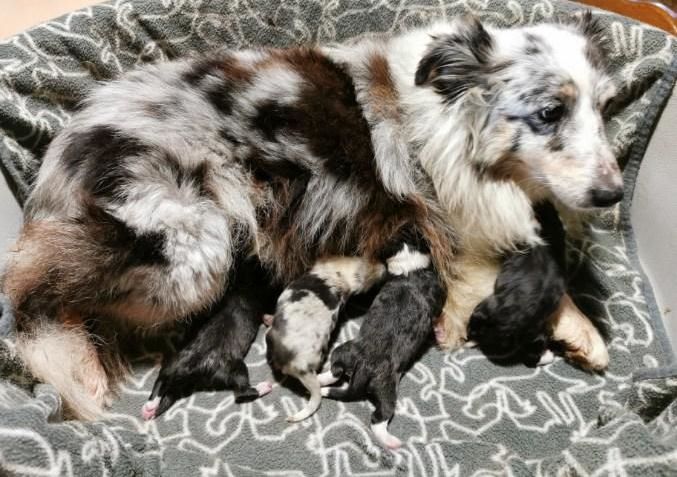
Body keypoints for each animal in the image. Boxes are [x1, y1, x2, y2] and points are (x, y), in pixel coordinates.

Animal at [141, 256, 278, 420]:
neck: (245, 280)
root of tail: (189, 369)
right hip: (234, 368)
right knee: (242, 392)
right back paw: (264, 387)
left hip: (171, 364)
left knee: (160, 381)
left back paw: (150, 406)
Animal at [320, 244, 446, 448]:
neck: (409, 268)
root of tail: (363, 367)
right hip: (386, 389)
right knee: (378, 419)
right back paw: (392, 442)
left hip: (345, 351)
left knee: (335, 370)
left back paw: (320, 380)